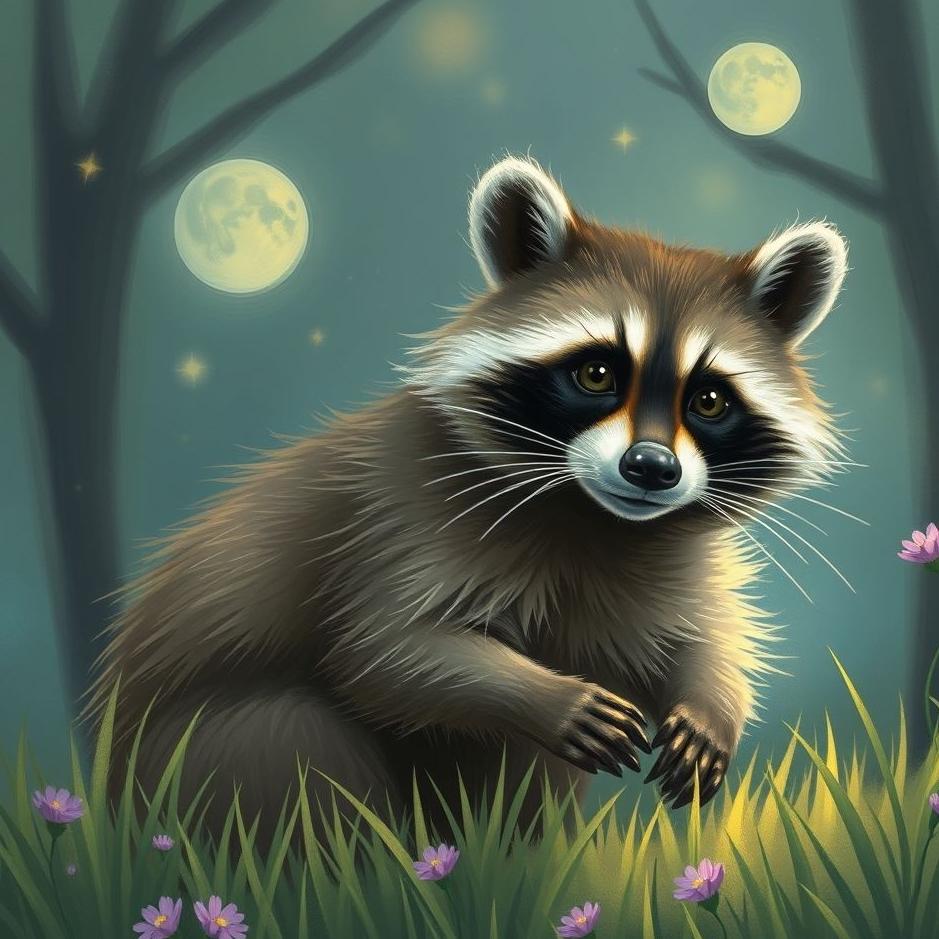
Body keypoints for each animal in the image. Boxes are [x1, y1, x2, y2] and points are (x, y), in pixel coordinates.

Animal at [91, 156, 847, 839]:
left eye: (709, 399)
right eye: (596, 372)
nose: (651, 468)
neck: (592, 511)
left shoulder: (672, 558)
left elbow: (703, 634)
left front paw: (711, 705)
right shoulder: (398, 518)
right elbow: (385, 648)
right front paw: (544, 694)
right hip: (201, 755)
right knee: (301, 751)